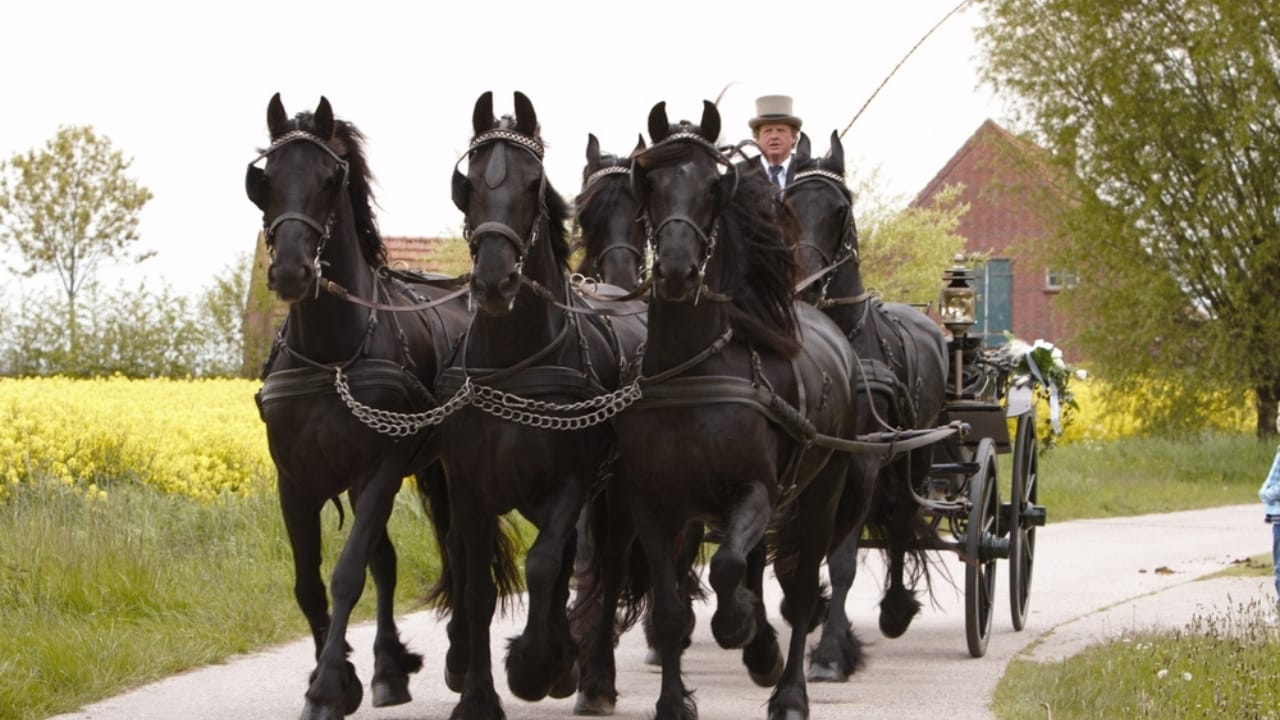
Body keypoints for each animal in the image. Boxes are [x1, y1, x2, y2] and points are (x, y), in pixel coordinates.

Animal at [245, 93, 471, 720]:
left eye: (329, 180)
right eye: (265, 180)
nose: (291, 270)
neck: (332, 353)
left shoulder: (382, 467)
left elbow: (347, 574)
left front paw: (326, 687)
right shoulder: (295, 478)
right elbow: (309, 583)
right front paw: (344, 674)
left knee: (455, 548)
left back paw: (459, 658)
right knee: (392, 559)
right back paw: (390, 669)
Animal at [432, 91, 648, 720]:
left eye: (533, 183)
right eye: (472, 181)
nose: (494, 281)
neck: (517, 361)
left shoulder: (569, 482)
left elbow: (546, 563)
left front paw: (533, 666)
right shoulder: (470, 487)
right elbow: (478, 586)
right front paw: (478, 694)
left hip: (618, 491)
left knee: (606, 565)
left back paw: (592, 677)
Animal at [617, 100, 864, 720]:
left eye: (714, 186)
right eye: (649, 183)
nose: (676, 271)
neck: (694, 370)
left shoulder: (754, 490)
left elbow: (729, 566)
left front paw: (741, 632)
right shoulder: (652, 505)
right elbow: (670, 608)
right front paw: (673, 702)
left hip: (823, 489)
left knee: (802, 588)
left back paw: (789, 686)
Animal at [783, 130, 949, 682]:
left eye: (840, 208)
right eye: (787, 205)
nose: (808, 283)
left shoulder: (863, 461)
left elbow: (842, 560)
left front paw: (832, 653)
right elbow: (795, 552)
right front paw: (806, 611)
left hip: (915, 455)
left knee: (900, 525)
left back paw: (895, 610)